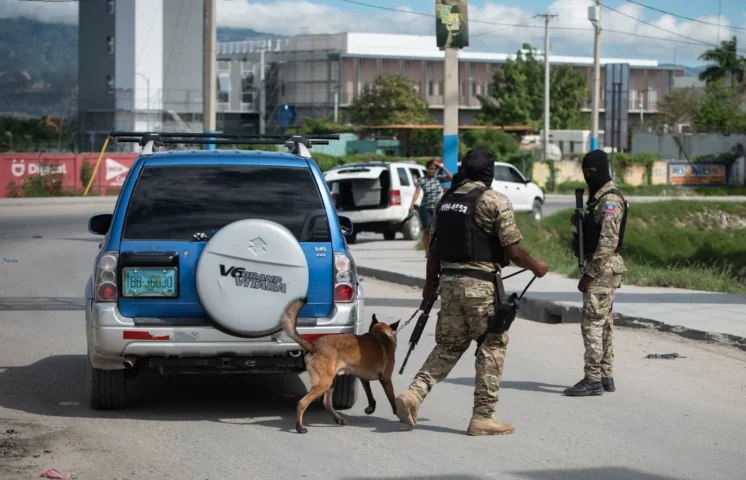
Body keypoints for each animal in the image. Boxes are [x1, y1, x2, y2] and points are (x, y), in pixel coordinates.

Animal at [280, 296, 398, 436]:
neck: (380, 335)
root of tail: (314, 345)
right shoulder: (386, 379)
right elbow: (392, 398)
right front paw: (399, 413)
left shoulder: (364, 379)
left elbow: (370, 395)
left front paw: (371, 407)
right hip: (324, 383)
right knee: (302, 403)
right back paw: (299, 427)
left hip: (331, 381)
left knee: (327, 402)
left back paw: (338, 418)